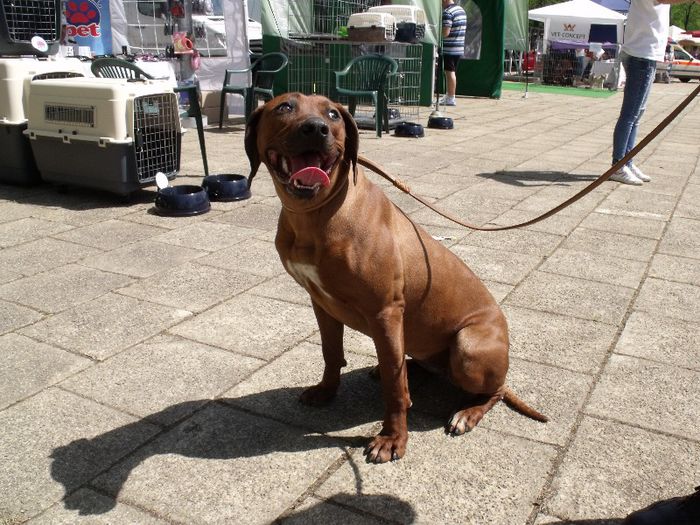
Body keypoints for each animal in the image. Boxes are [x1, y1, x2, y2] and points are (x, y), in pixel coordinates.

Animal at [246, 93, 548, 462]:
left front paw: (392, 438)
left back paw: (467, 413)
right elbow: (331, 353)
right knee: (414, 365)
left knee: (496, 390)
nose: (316, 129)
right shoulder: (321, 304)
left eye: (332, 114)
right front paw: (326, 391)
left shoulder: (386, 312)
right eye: (285, 107)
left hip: (468, 346)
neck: (316, 214)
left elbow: (394, 389)